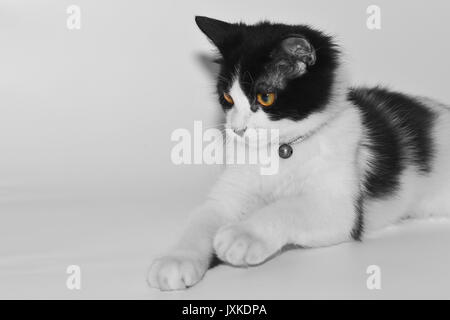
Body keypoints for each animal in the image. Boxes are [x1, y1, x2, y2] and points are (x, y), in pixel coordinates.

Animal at [148, 15, 450, 290]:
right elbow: (201, 219)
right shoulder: (229, 194)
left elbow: (287, 207)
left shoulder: (341, 208)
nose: (237, 129)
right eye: (227, 98)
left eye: (265, 97)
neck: (281, 150)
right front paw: (176, 258)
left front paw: (243, 234)